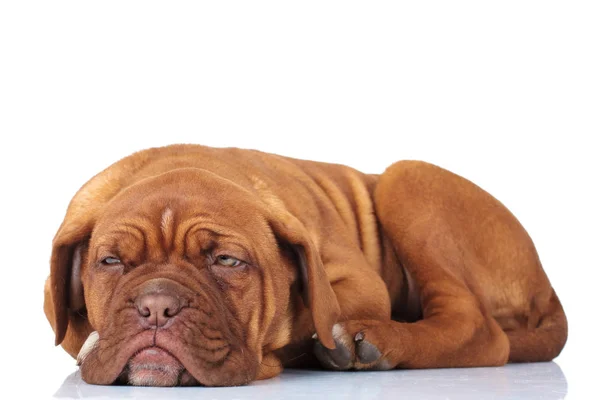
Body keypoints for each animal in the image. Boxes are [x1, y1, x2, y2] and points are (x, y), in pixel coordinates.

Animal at [42, 145, 568, 386]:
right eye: (110, 261)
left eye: (227, 261)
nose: (155, 307)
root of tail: (548, 288)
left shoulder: (358, 282)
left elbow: (310, 315)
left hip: (407, 181)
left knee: (477, 329)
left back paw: (373, 343)